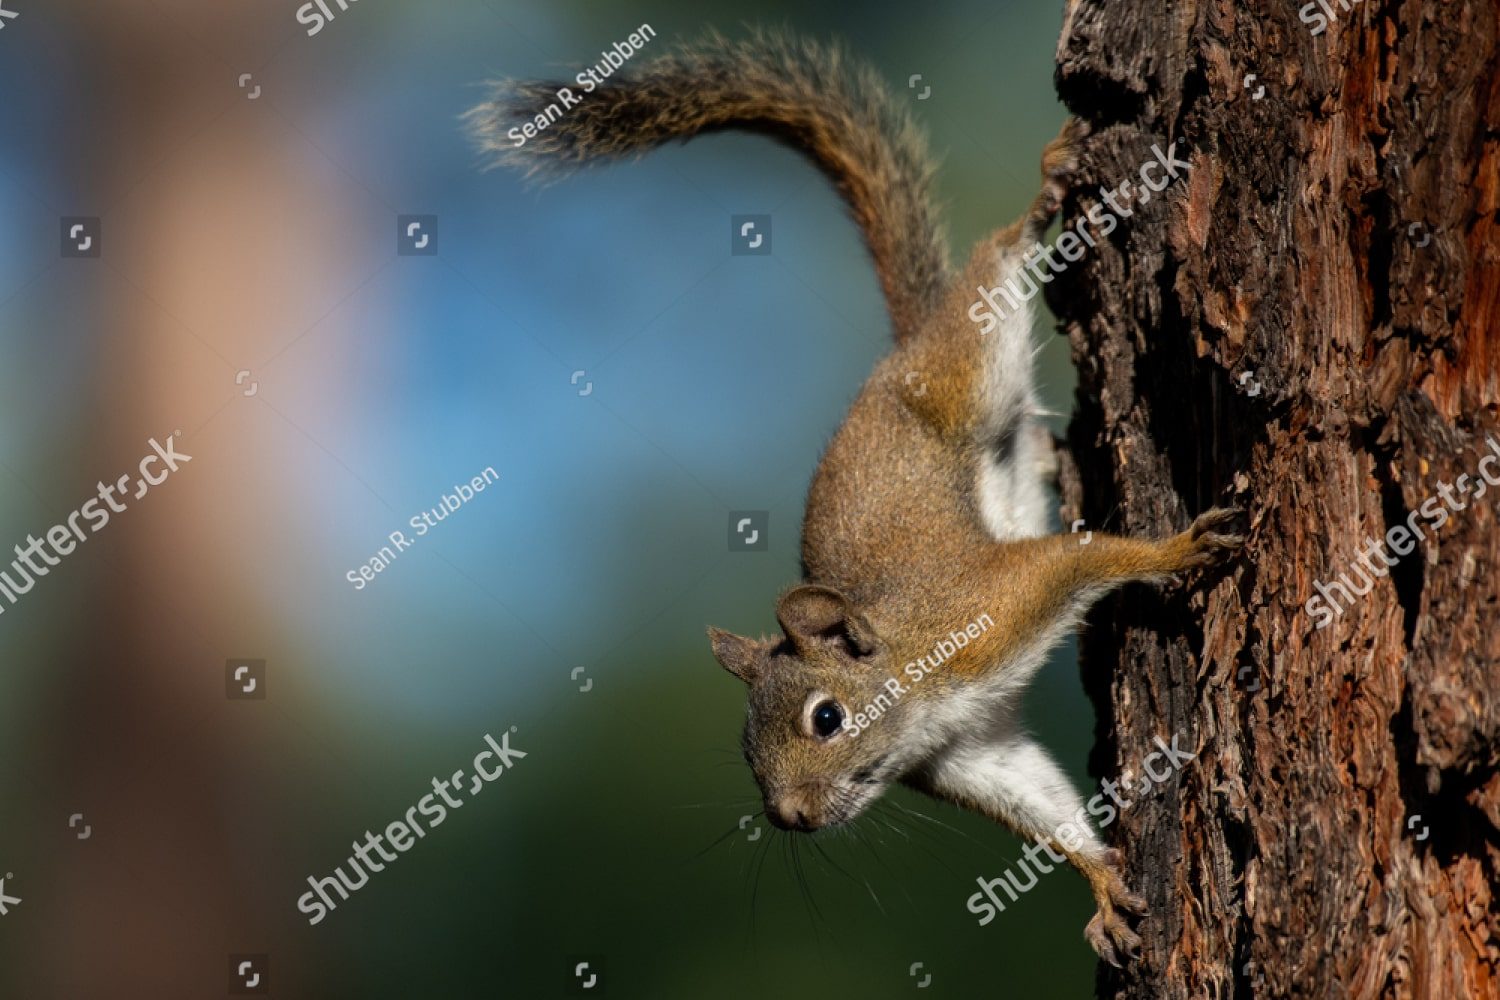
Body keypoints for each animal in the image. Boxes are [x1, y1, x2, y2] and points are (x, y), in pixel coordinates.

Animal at [466, 28, 1244, 967]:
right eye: (744, 746)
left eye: (827, 719)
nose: (790, 817)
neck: (915, 688)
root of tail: (896, 356)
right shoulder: (971, 753)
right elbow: (1040, 803)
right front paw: (1099, 883)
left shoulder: (992, 609)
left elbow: (1082, 559)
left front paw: (1178, 549)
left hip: (961, 363)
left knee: (997, 261)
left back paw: (1047, 188)